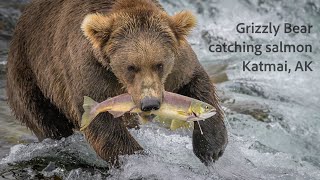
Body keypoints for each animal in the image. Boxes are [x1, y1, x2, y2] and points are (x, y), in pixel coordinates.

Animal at [6, 0, 228, 166]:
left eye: (159, 64)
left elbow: (195, 81)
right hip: (30, 76)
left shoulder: (177, 64)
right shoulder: (90, 70)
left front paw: (210, 148)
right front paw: (140, 159)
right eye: (131, 67)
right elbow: (102, 123)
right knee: (46, 119)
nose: (150, 104)